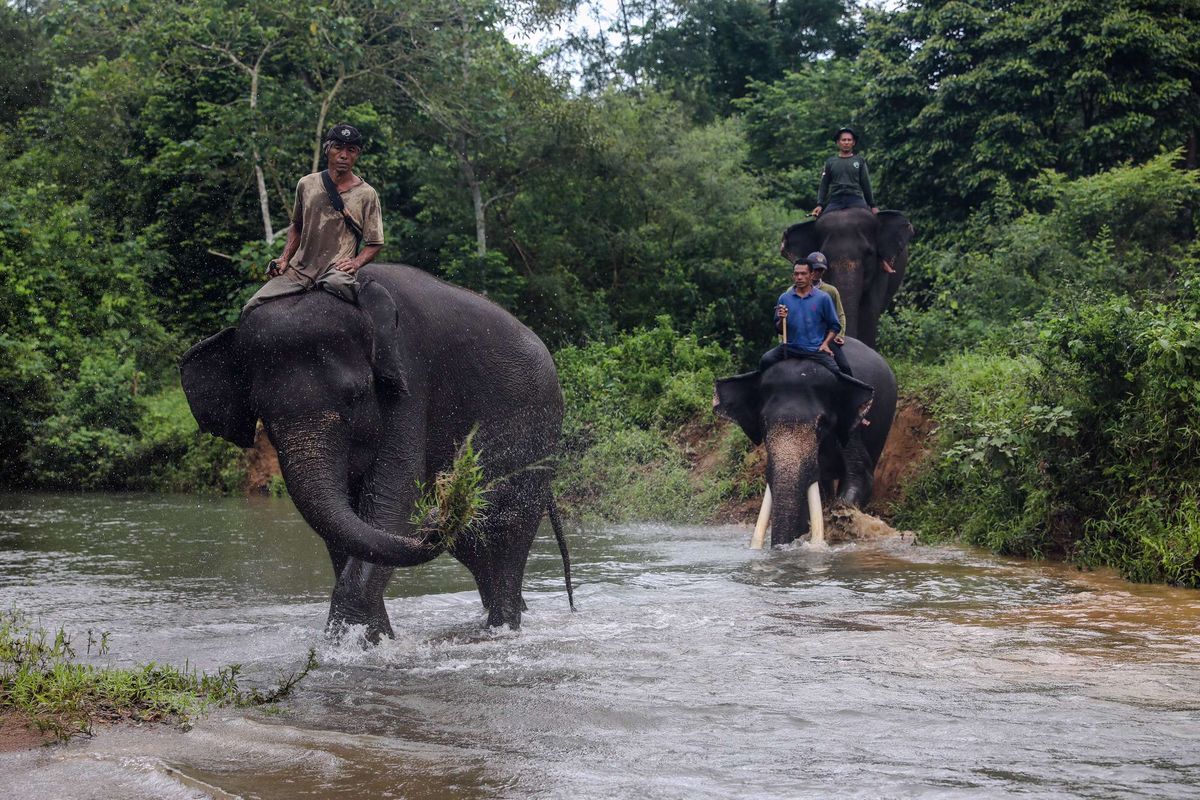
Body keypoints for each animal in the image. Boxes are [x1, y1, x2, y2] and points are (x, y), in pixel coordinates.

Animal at [178, 263, 571, 642]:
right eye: (263, 414)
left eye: (355, 397)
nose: (435, 517)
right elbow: (353, 520)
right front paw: (366, 638)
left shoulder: (410, 372)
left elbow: (390, 498)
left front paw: (355, 642)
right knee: (476, 544)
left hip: (534, 427)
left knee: (505, 528)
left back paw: (501, 630)